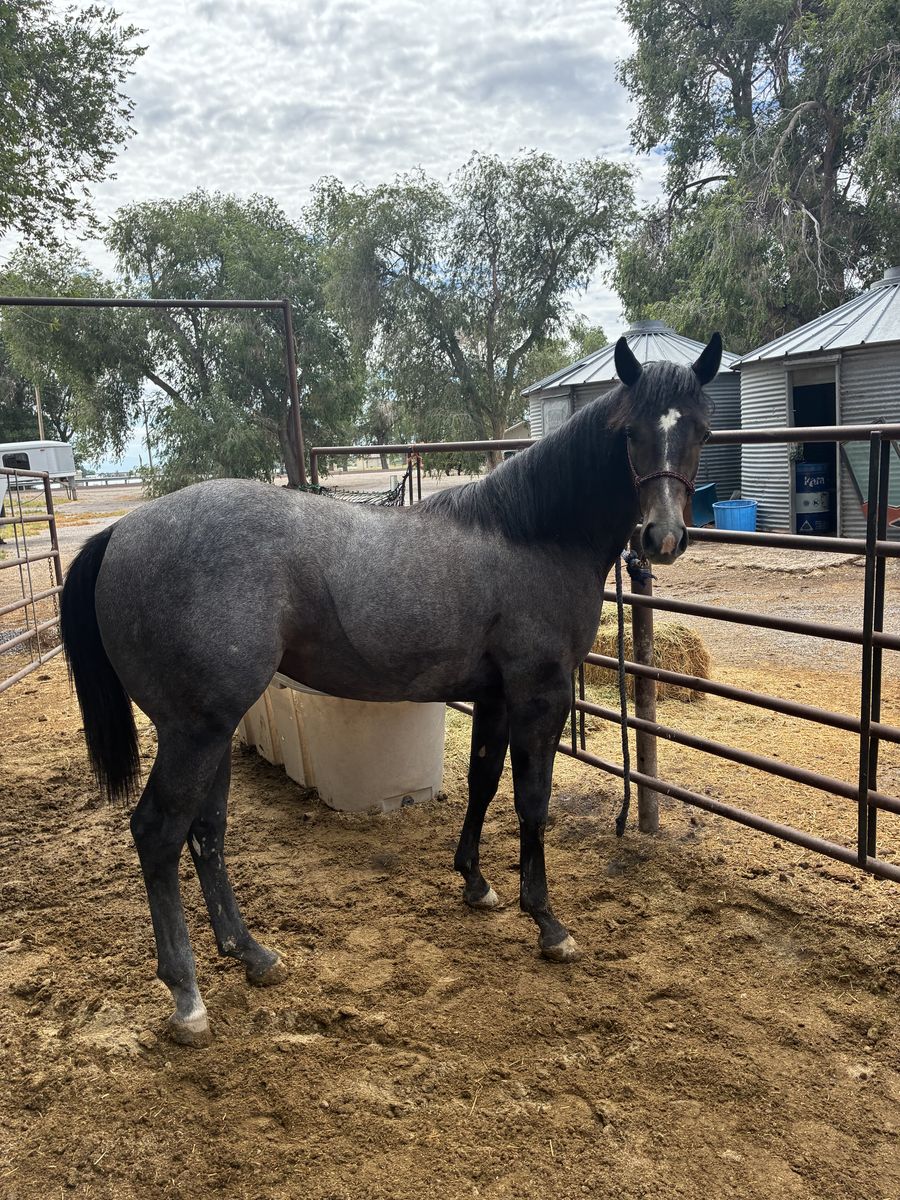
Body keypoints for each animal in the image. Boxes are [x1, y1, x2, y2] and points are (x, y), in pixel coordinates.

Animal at [60, 333, 721, 1046]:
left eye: (701, 430)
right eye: (630, 432)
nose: (662, 538)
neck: (528, 537)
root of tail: (123, 531)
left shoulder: (493, 696)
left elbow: (483, 782)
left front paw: (475, 884)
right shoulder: (538, 696)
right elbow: (532, 801)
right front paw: (547, 923)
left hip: (207, 730)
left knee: (206, 831)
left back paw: (252, 954)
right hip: (194, 730)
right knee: (159, 832)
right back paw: (187, 995)